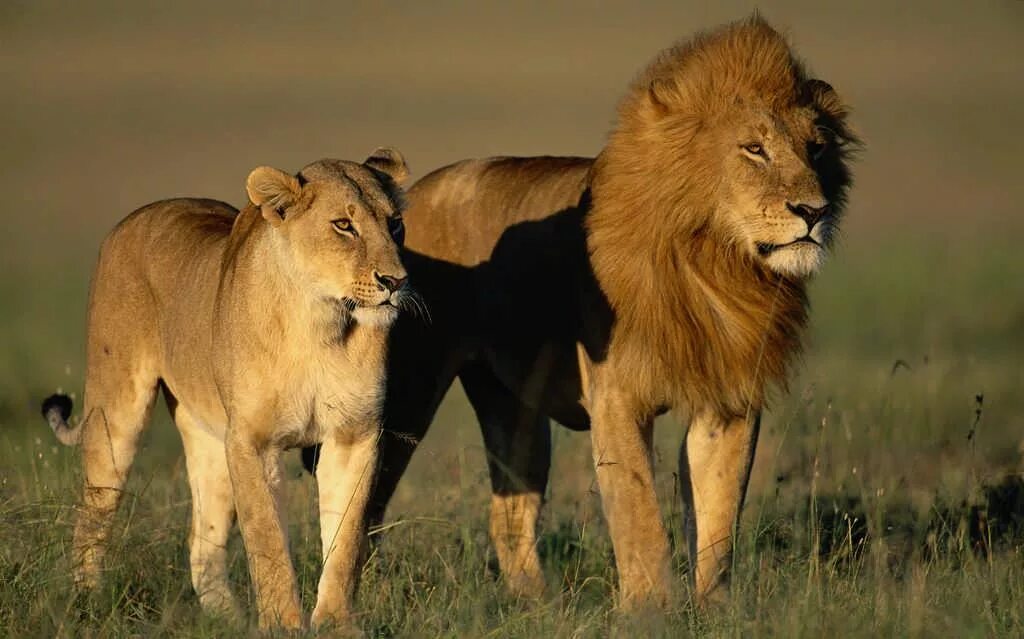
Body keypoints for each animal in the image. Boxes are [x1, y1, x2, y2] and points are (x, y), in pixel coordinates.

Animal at [42, 148, 411, 630]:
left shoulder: (355, 435)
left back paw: (226, 620)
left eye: (395, 224)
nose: (396, 281)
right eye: (343, 225)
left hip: (209, 439)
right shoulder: (251, 442)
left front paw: (335, 624)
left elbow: (345, 540)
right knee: (92, 515)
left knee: (202, 543)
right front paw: (282, 625)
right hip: (116, 412)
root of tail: (133, 218)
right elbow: (267, 540)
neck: (321, 323)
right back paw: (87, 603)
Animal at [304, 16, 857, 608]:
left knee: (509, 513)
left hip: (512, 406)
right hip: (404, 397)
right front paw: (652, 610)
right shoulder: (616, 397)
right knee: (367, 507)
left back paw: (537, 607)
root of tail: (403, 204)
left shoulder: (728, 399)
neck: (715, 264)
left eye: (816, 149)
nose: (814, 211)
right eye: (754, 148)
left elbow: (717, 520)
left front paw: (714, 610)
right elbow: (640, 515)